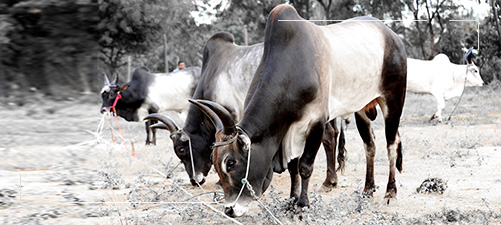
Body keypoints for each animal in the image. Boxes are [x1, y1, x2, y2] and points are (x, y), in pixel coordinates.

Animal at [145, 32, 348, 189]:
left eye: (181, 150)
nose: (195, 181)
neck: (211, 76)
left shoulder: (231, 114)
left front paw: (220, 182)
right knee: (332, 135)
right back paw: (331, 180)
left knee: (327, 137)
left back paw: (329, 180)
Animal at [188, 4, 406, 217]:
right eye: (214, 163)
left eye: (230, 163)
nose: (229, 209)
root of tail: (391, 35)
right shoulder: (289, 132)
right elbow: (293, 168)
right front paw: (291, 202)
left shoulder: (316, 123)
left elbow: (305, 167)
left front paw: (302, 205)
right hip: (361, 107)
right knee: (370, 145)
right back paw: (368, 189)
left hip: (393, 100)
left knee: (391, 144)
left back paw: (390, 192)